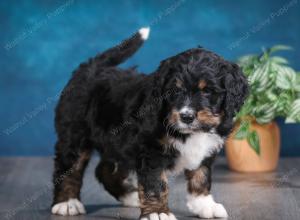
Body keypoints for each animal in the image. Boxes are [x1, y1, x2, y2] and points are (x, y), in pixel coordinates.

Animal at [51, 27, 248, 220]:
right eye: (174, 91)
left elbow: (201, 175)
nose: (186, 116)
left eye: (207, 91)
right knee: (68, 167)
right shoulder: (151, 151)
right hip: (75, 134)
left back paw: (129, 196)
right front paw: (158, 212)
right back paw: (67, 202)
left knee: (104, 169)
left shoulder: (206, 150)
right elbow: (156, 184)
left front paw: (204, 204)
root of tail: (91, 68)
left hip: (116, 143)